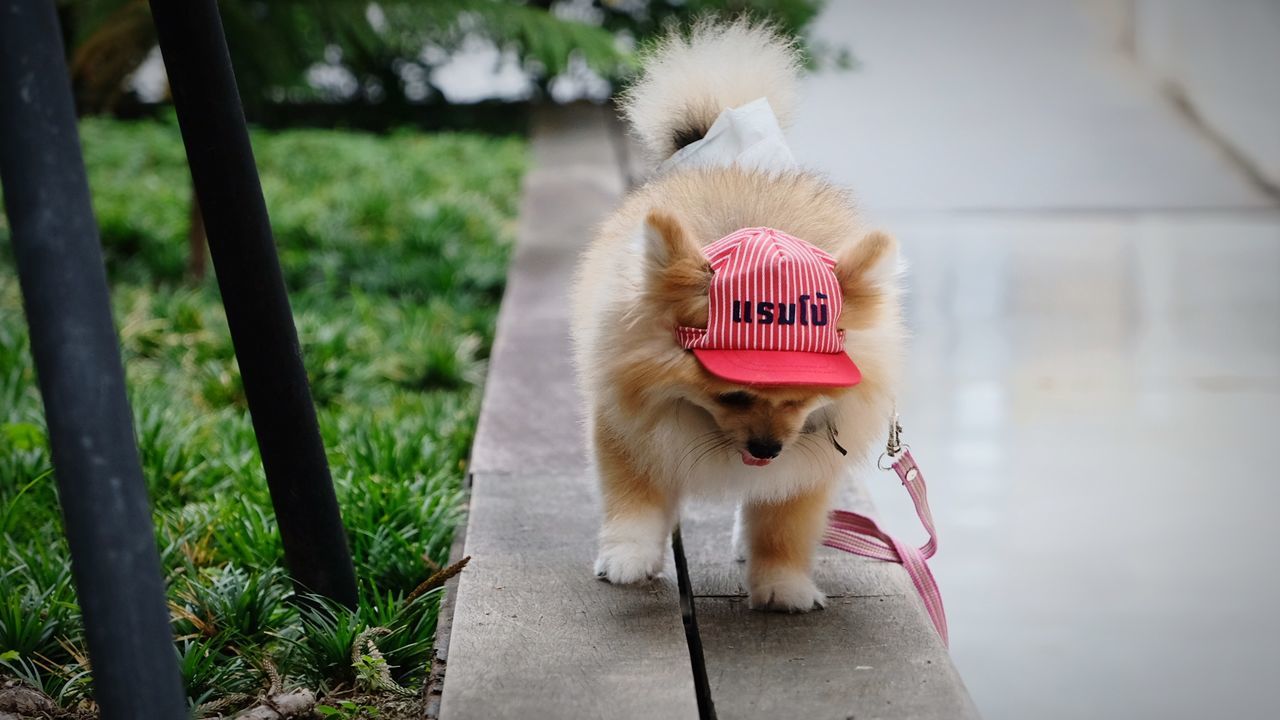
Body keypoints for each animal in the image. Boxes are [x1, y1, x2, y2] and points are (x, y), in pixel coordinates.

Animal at [570, 19, 901, 607]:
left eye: (801, 401)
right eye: (731, 397)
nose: (767, 448)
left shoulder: (806, 462)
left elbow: (783, 525)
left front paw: (782, 584)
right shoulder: (625, 426)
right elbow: (635, 500)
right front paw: (628, 558)